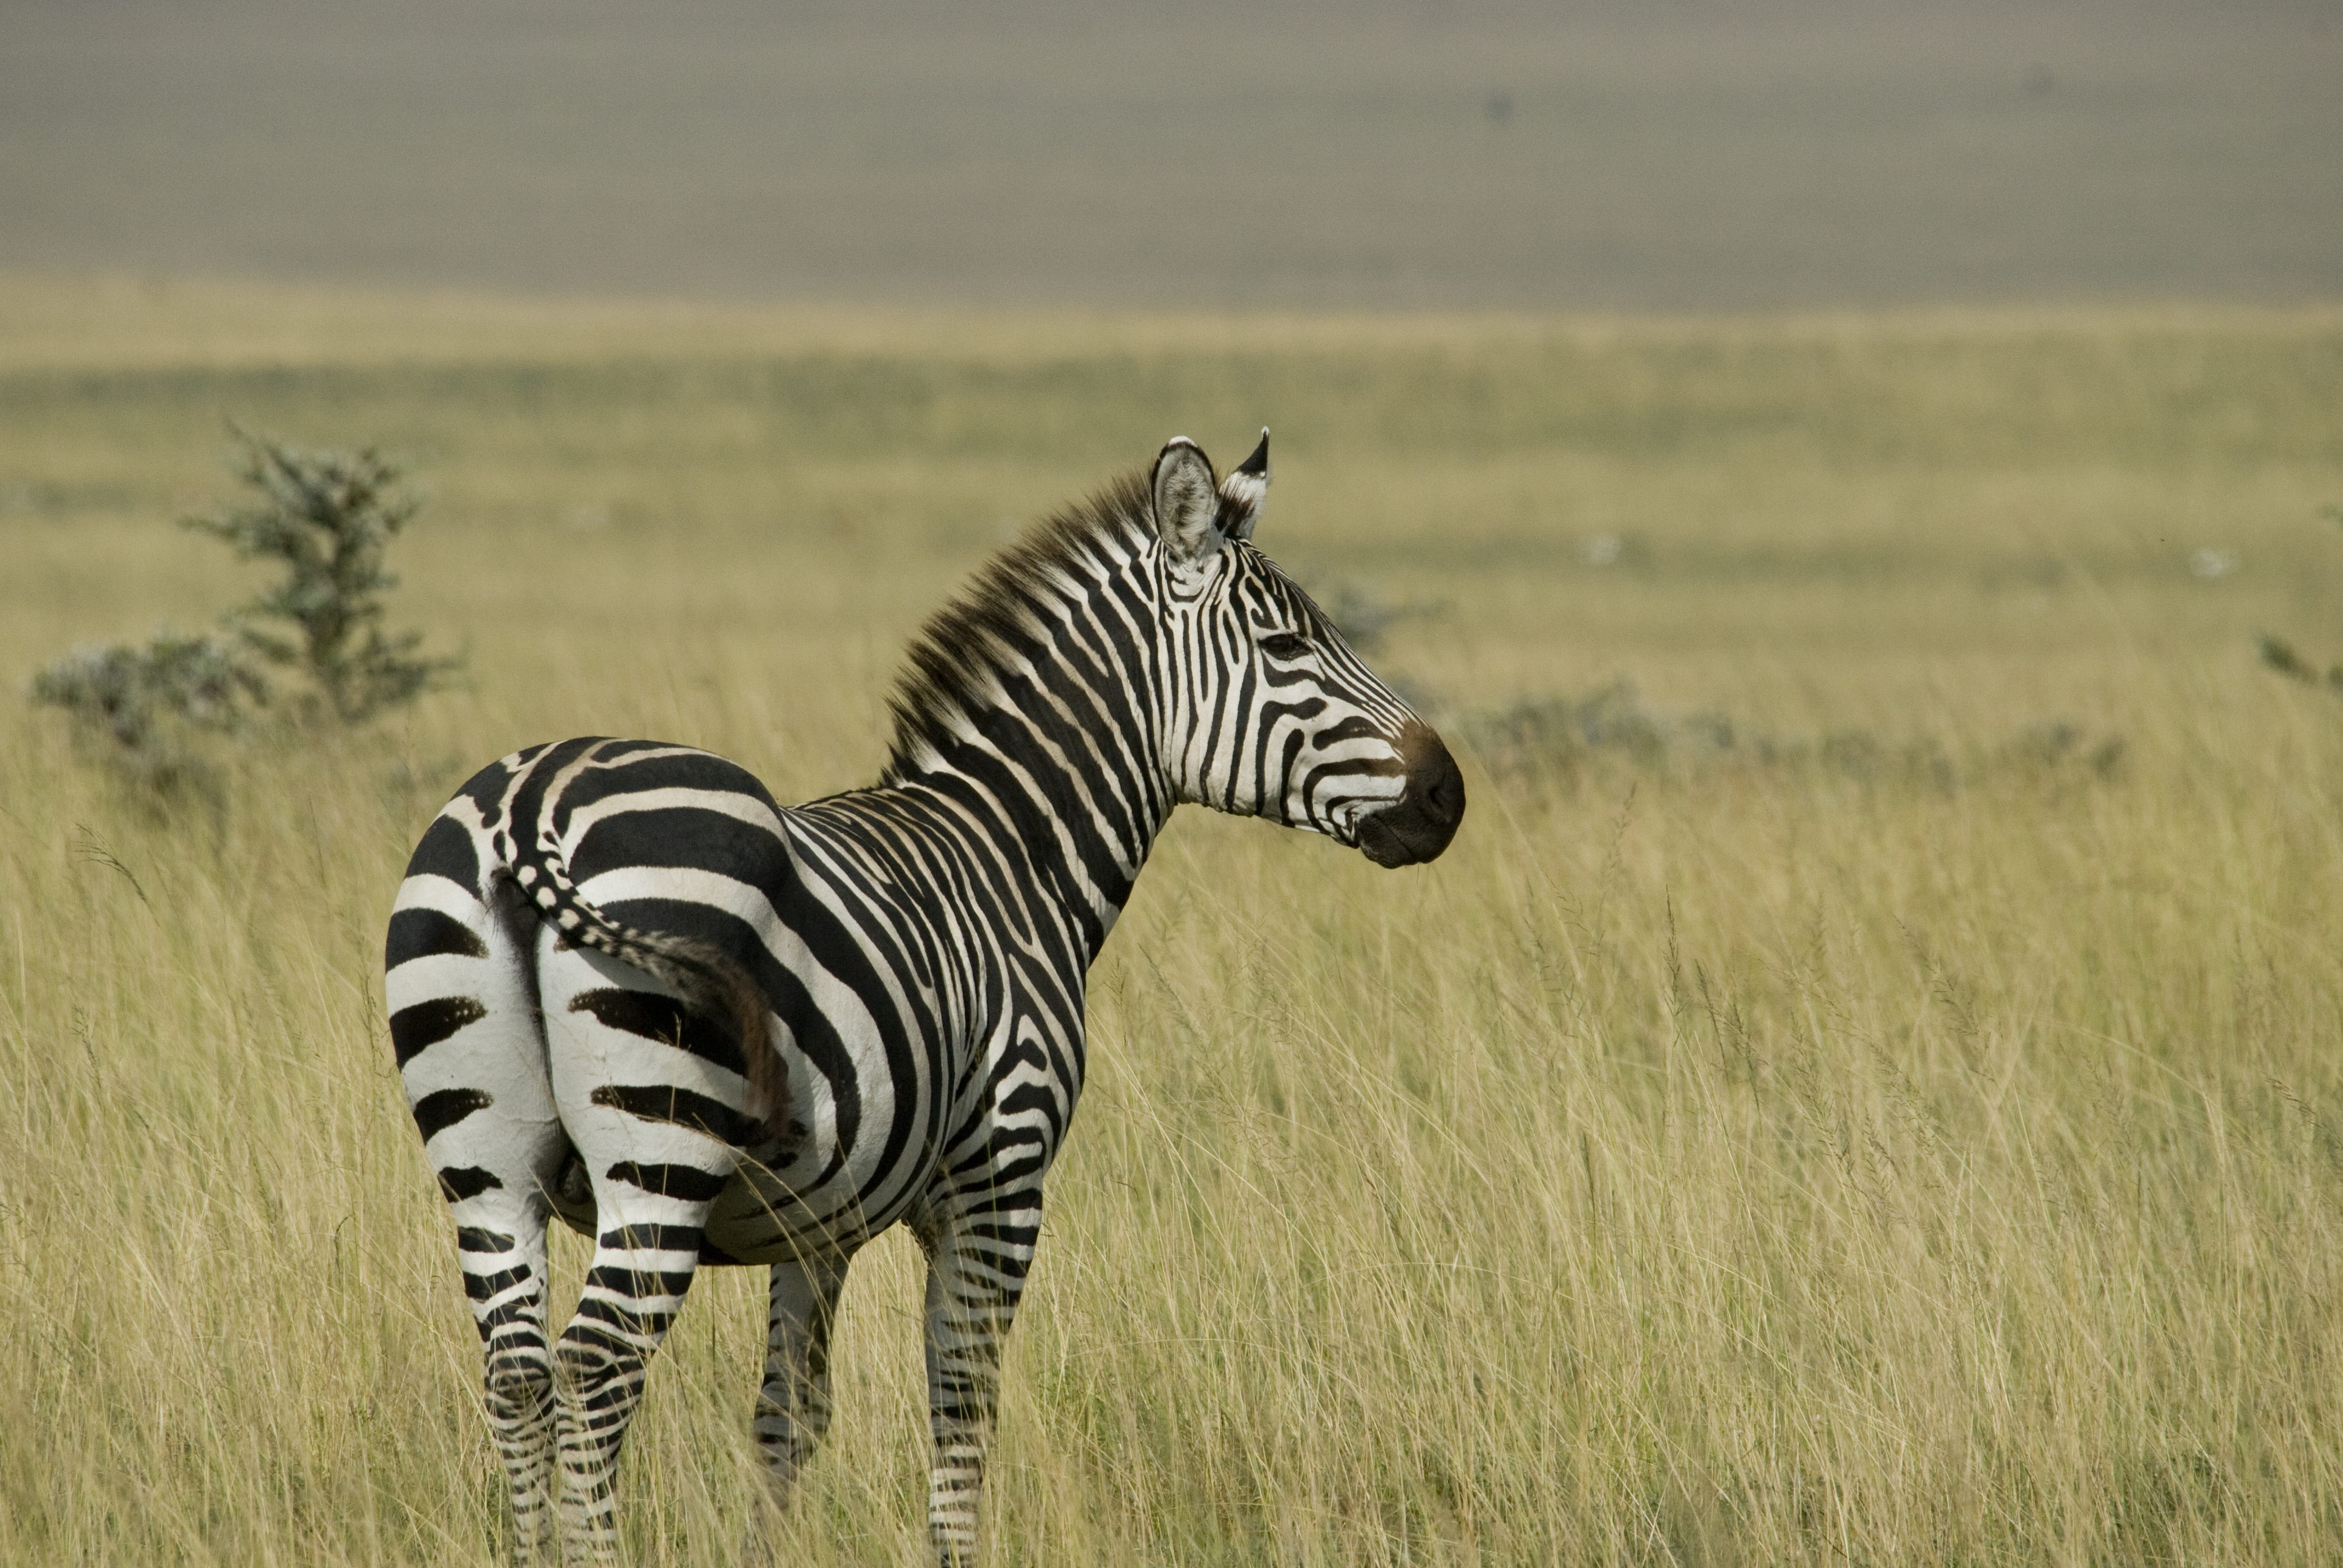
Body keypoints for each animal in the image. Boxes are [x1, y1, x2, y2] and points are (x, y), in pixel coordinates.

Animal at [383, 433, 1465, 1564]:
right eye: (1288, 645)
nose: (1449, 794)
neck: (1014, 849)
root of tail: (528, 806)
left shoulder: (815, 1221)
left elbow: (789, 1418)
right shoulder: (1001, 1175)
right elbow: (962, 1398)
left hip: (482, 1159)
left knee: (518, 1372)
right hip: (659, 1146)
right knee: (596, 1368)